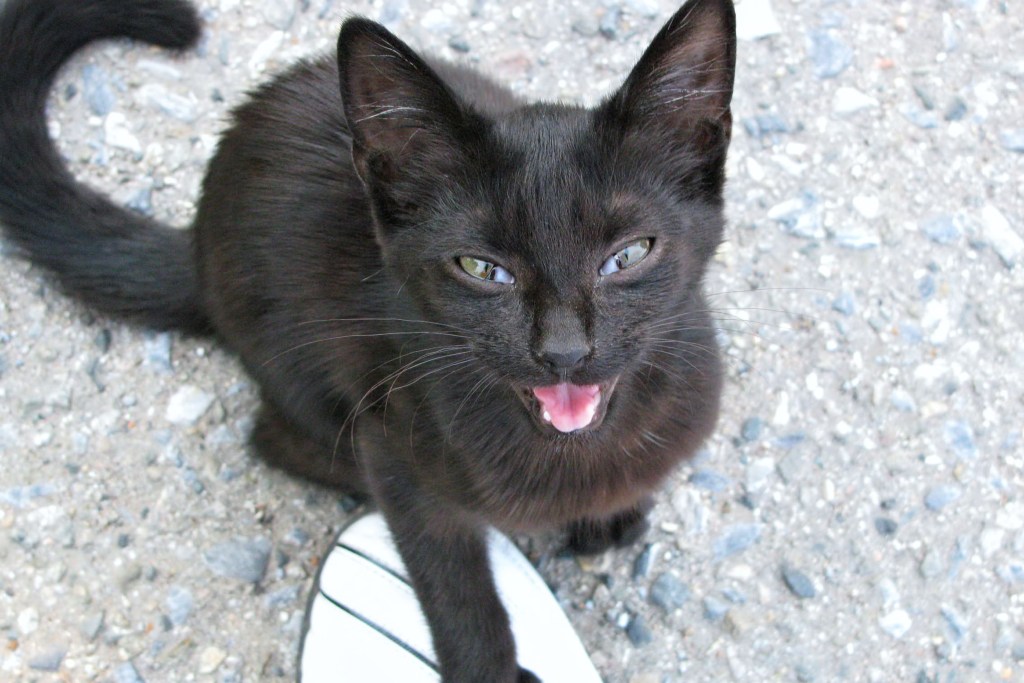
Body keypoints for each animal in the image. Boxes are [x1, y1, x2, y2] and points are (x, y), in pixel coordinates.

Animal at [0, 2, 737, 679]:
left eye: (628, 255)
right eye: (481, 269)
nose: (563, 351)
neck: (577, 454)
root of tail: (198, 243)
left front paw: (612, 514)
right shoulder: (397, 449)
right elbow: (459, 596)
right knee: (276, 438)